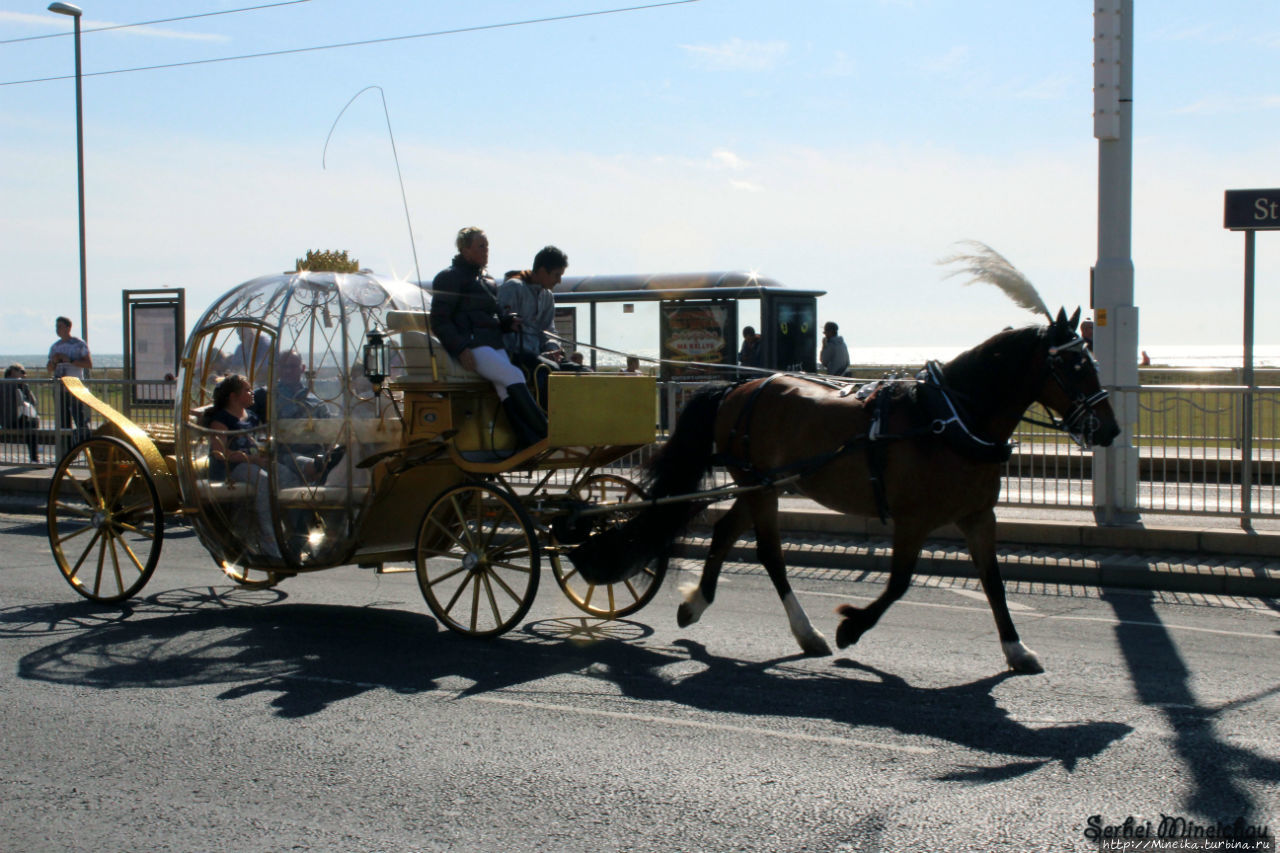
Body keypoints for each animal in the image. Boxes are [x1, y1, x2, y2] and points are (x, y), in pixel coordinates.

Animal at [570, 306, 1121, 671]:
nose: (1111, 430)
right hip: (761, 486)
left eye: (1091, 360)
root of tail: (738, 387)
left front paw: (1016, 648)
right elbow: (899, 583)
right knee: (770, 553)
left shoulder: (978, 515)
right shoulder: (913, 519)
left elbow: (993, 582)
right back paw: (807, 631)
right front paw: (850, 626)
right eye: (1071, 365)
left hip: (761, 484)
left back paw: (696, 604)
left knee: (726, 532)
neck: (946, 418)